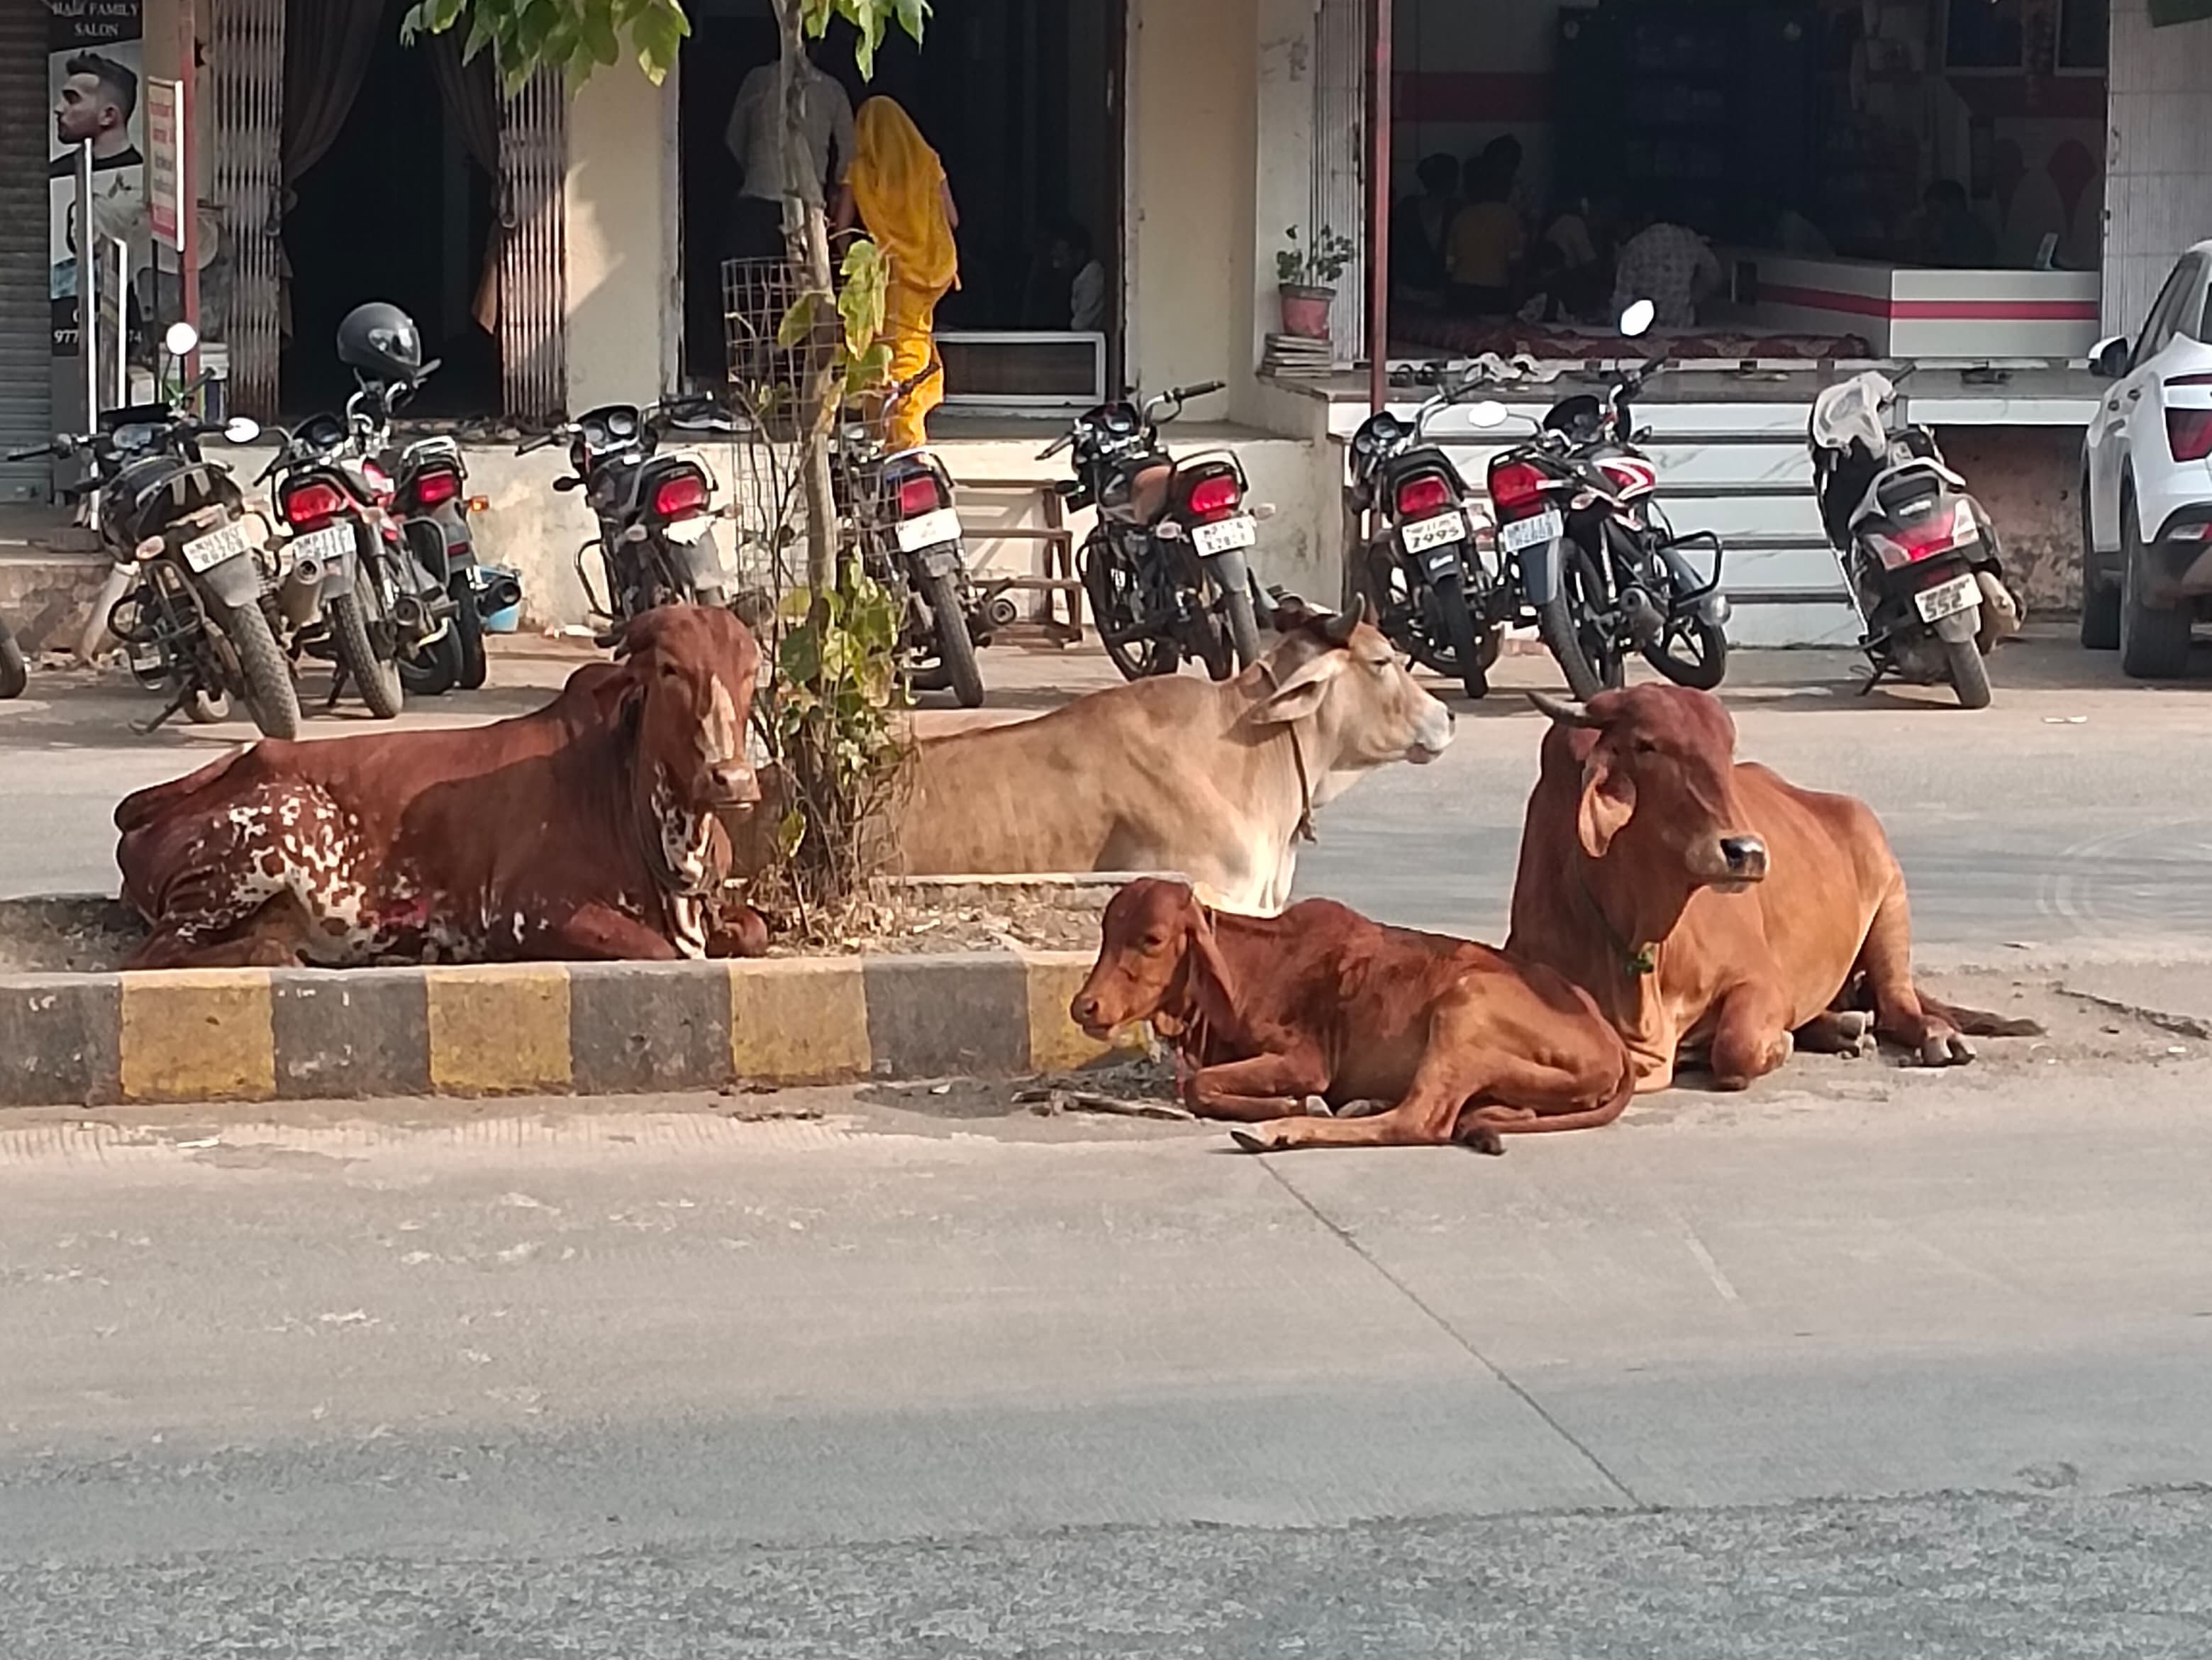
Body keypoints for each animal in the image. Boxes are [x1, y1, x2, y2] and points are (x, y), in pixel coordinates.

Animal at [114, 605, 768, 969]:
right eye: (670, 670)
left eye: (752, 669)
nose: (731, 778)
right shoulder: (526, 911)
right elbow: (660, 949)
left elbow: (753, 930)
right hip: (264, 839)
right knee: (155, 954)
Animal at [1069, 877, 1635, 1153]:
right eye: (1107, 932)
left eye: (1151, 939)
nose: (1084, 1006)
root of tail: (1611, 1043)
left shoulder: (1305, 1059)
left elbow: (1200, 1086)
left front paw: (1296, 1106)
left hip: (1465, 1004)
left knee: (1418, 1120)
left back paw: (1283, 1130)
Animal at [1506, 683, 2038, 1093]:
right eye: (1646, 745)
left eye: (1726, 749)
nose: (1745, 851)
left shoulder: (1761, 980)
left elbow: (1734, 1049)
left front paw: (1773, 1043)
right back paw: (1842, 1028)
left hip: (1891, 895)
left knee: (1896, 1003)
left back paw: (1931, 1036)